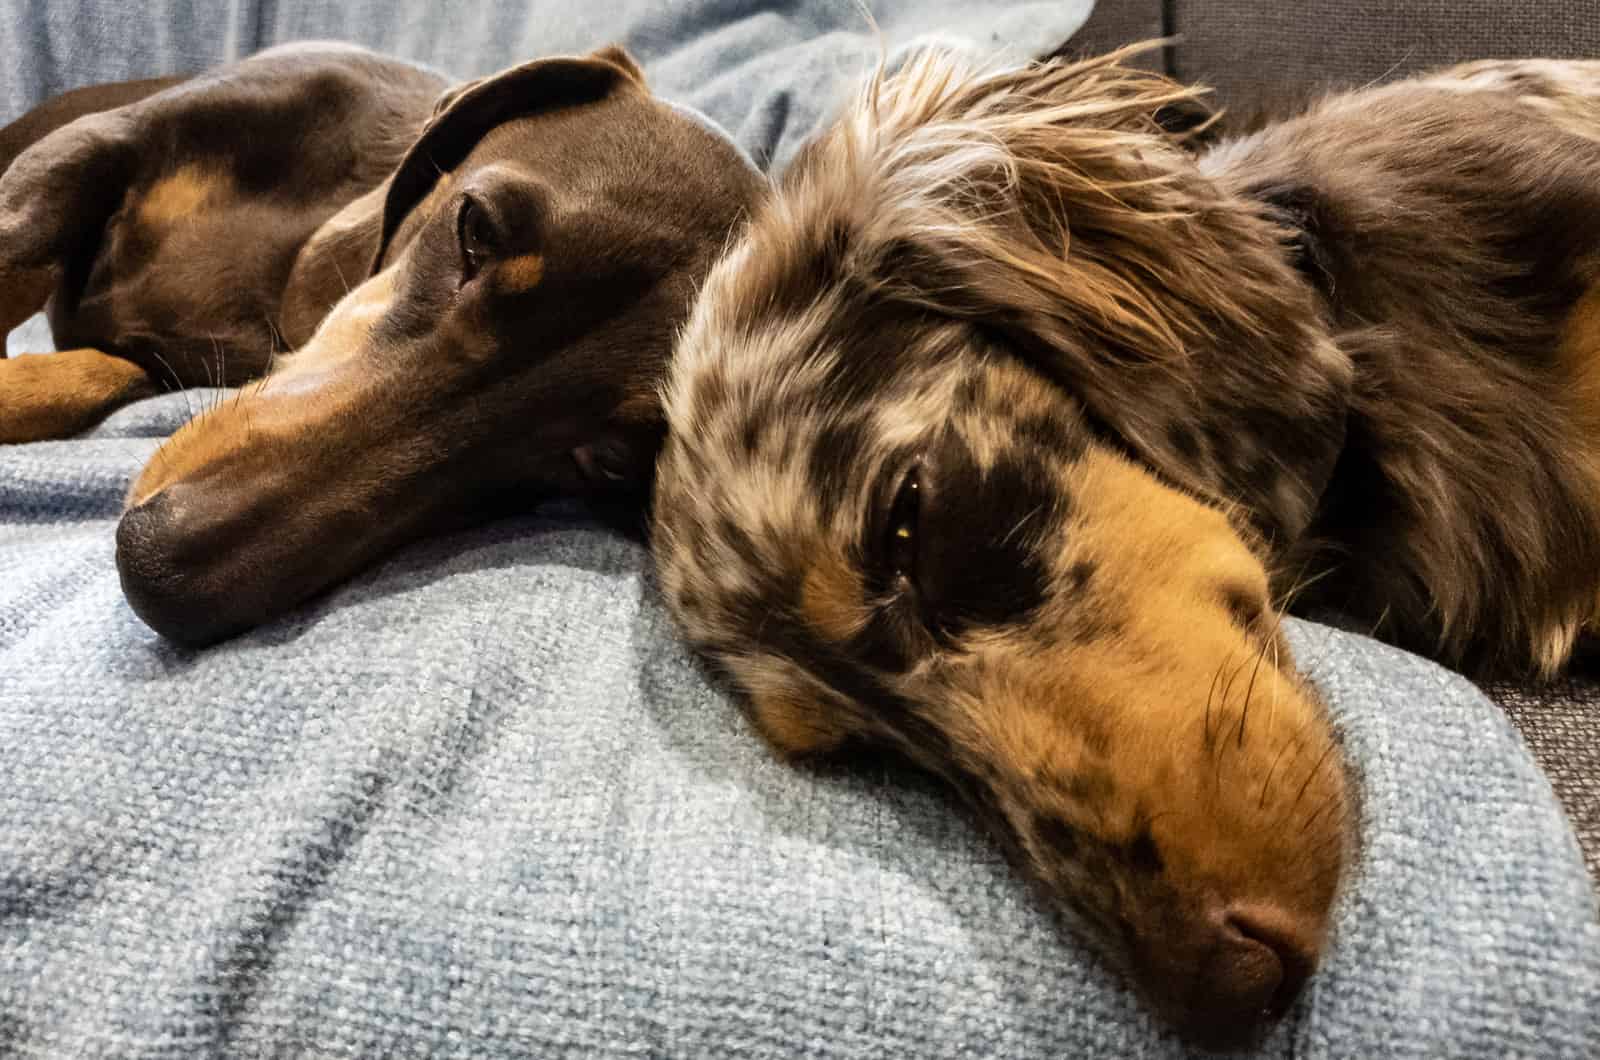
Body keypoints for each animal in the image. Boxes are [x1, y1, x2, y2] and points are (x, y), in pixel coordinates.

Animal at [0, 41, 764, 643]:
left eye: (606, 464)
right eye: (475, 230)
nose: (156, 572)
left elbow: (88, 375)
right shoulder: (105, 139)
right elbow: (22, 246)